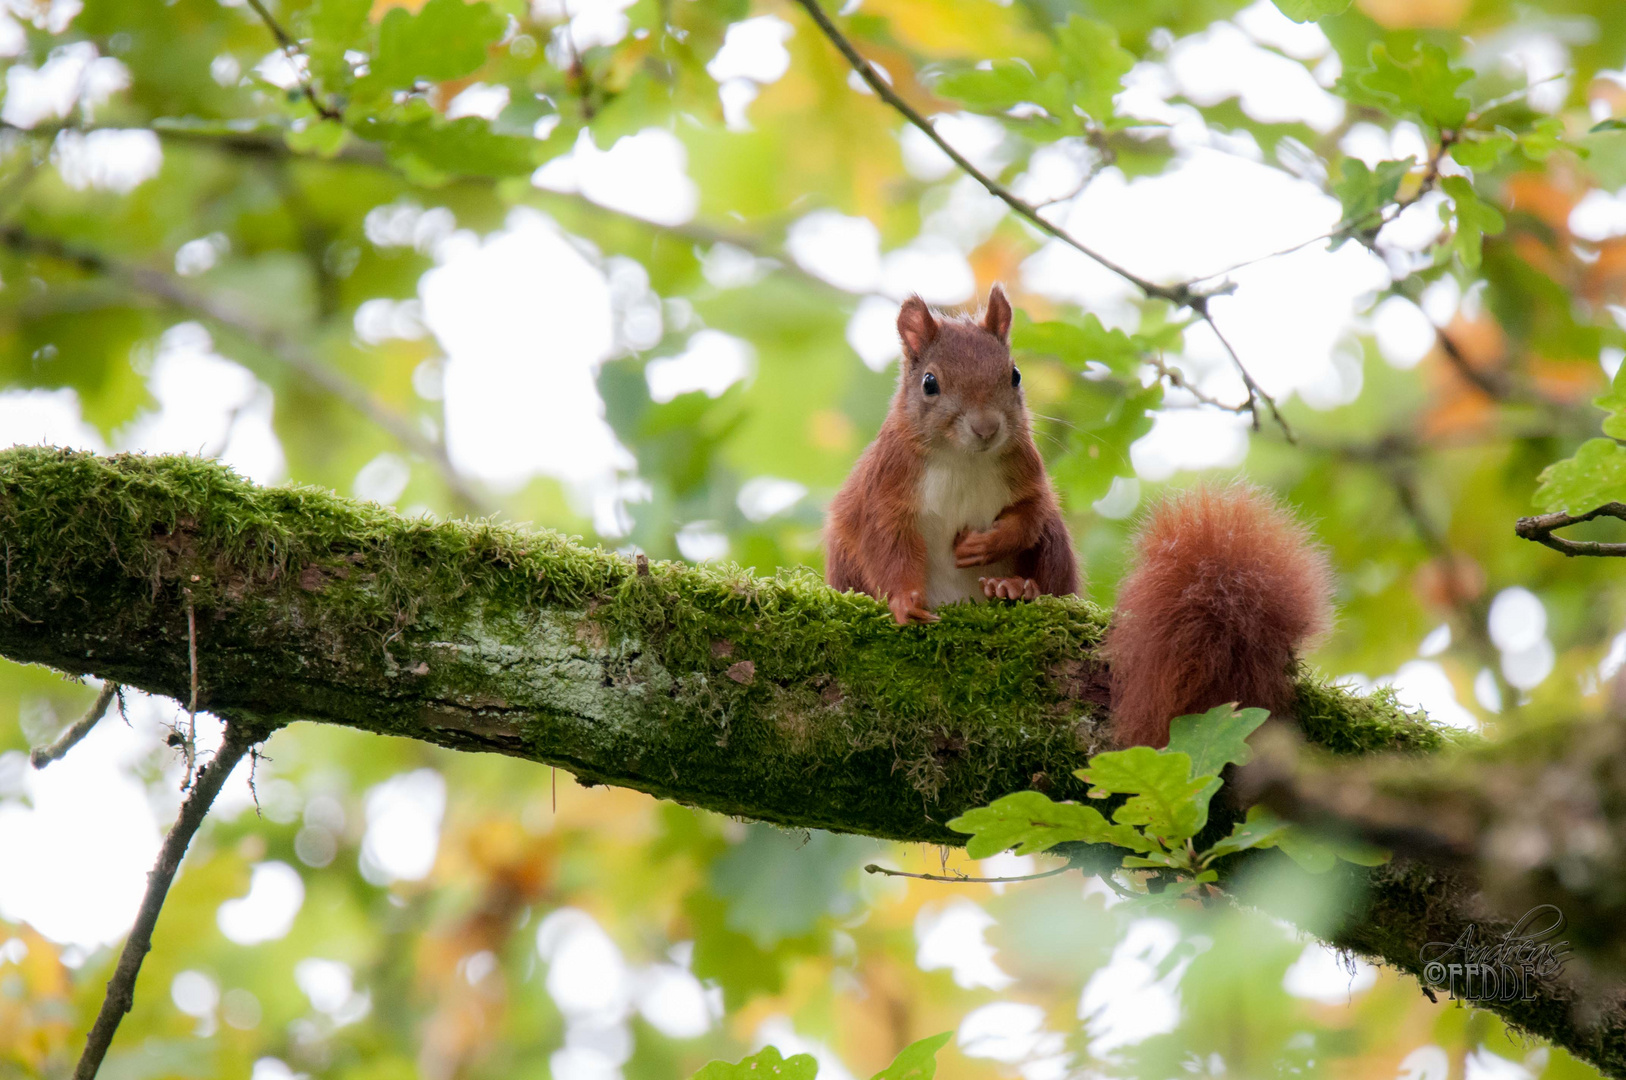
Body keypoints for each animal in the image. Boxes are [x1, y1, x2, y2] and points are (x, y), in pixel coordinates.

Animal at [826, 283, 1079, 627]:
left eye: (1015, 375)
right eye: (929, 383)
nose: (986, 428)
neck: (962, 458)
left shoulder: (1026, 469)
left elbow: (1030, 514)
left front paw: (985, 544)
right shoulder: (887, 485)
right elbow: (888, 545)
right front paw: (904, 601)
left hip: (1055, 541)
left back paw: (1013, 587)